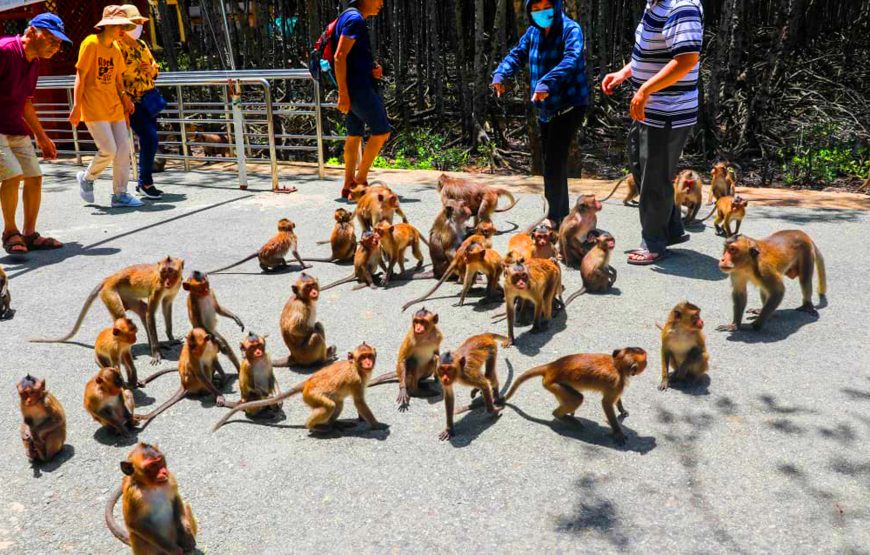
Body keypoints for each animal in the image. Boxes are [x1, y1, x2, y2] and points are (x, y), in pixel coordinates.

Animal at [30, 256, 184, 364]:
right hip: (109, 293)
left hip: (125, 294)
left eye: (171, 272)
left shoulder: (174, 288)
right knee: (123, 315)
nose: (167, 282)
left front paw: (170, 338)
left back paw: (154, 343)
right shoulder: (158, 288)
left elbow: (166, 306)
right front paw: (156, 352)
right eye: (163, 272)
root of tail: (109, 278)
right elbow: (150, 313)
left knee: (142, 309)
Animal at [213, 342, 388, 434]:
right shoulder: (356, 380)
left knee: (338, 404)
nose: (368, 363)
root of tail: (308, 381)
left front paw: (362, 419)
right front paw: (376, 424)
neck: (357, 368)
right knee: (329, 406)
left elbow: (358, 403)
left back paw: (334, 424)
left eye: (369, 356)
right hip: (311, 395)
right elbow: (359, 402)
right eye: (362, 357)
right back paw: (313, 427)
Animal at [499, 348, 647, 444]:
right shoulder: (616, 382)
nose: (648, 364)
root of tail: (551, 367)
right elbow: (606, 403)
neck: (616, 364)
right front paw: (618, 432)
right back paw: (561, 416)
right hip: (551, 384)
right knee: (577, 399)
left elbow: (614, 401)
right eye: (645, 362)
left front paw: (622, 410)